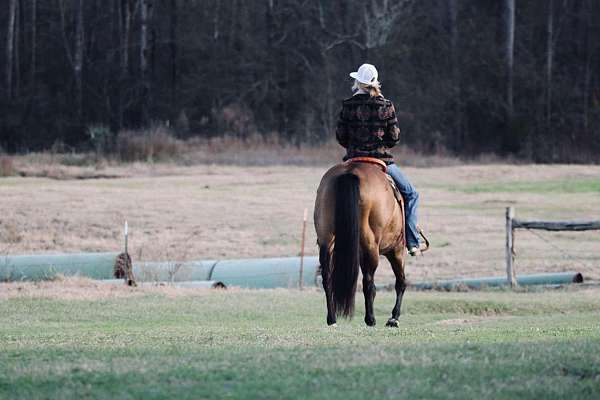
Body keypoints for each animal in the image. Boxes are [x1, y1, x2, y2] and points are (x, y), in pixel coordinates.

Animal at [314, 158, 422, 326]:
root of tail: (351, 171)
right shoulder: (396, 250)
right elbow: (401, 282)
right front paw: (394, 318)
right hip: (371, 245)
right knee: (369, 281)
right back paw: (370, 319)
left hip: (326, 241)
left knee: (327, 278)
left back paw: (332, 319)